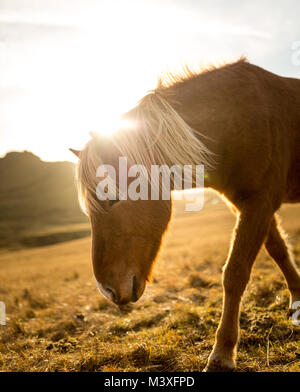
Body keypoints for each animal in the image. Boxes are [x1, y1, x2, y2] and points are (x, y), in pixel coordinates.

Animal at [69, 58, 300, 370]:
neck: (234, 118)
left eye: (112, 198)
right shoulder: (249, 205)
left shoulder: (259, 203)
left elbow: (235, 273)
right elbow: (279, 251)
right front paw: (297, 300)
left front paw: (222, 354)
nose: (107, 290)